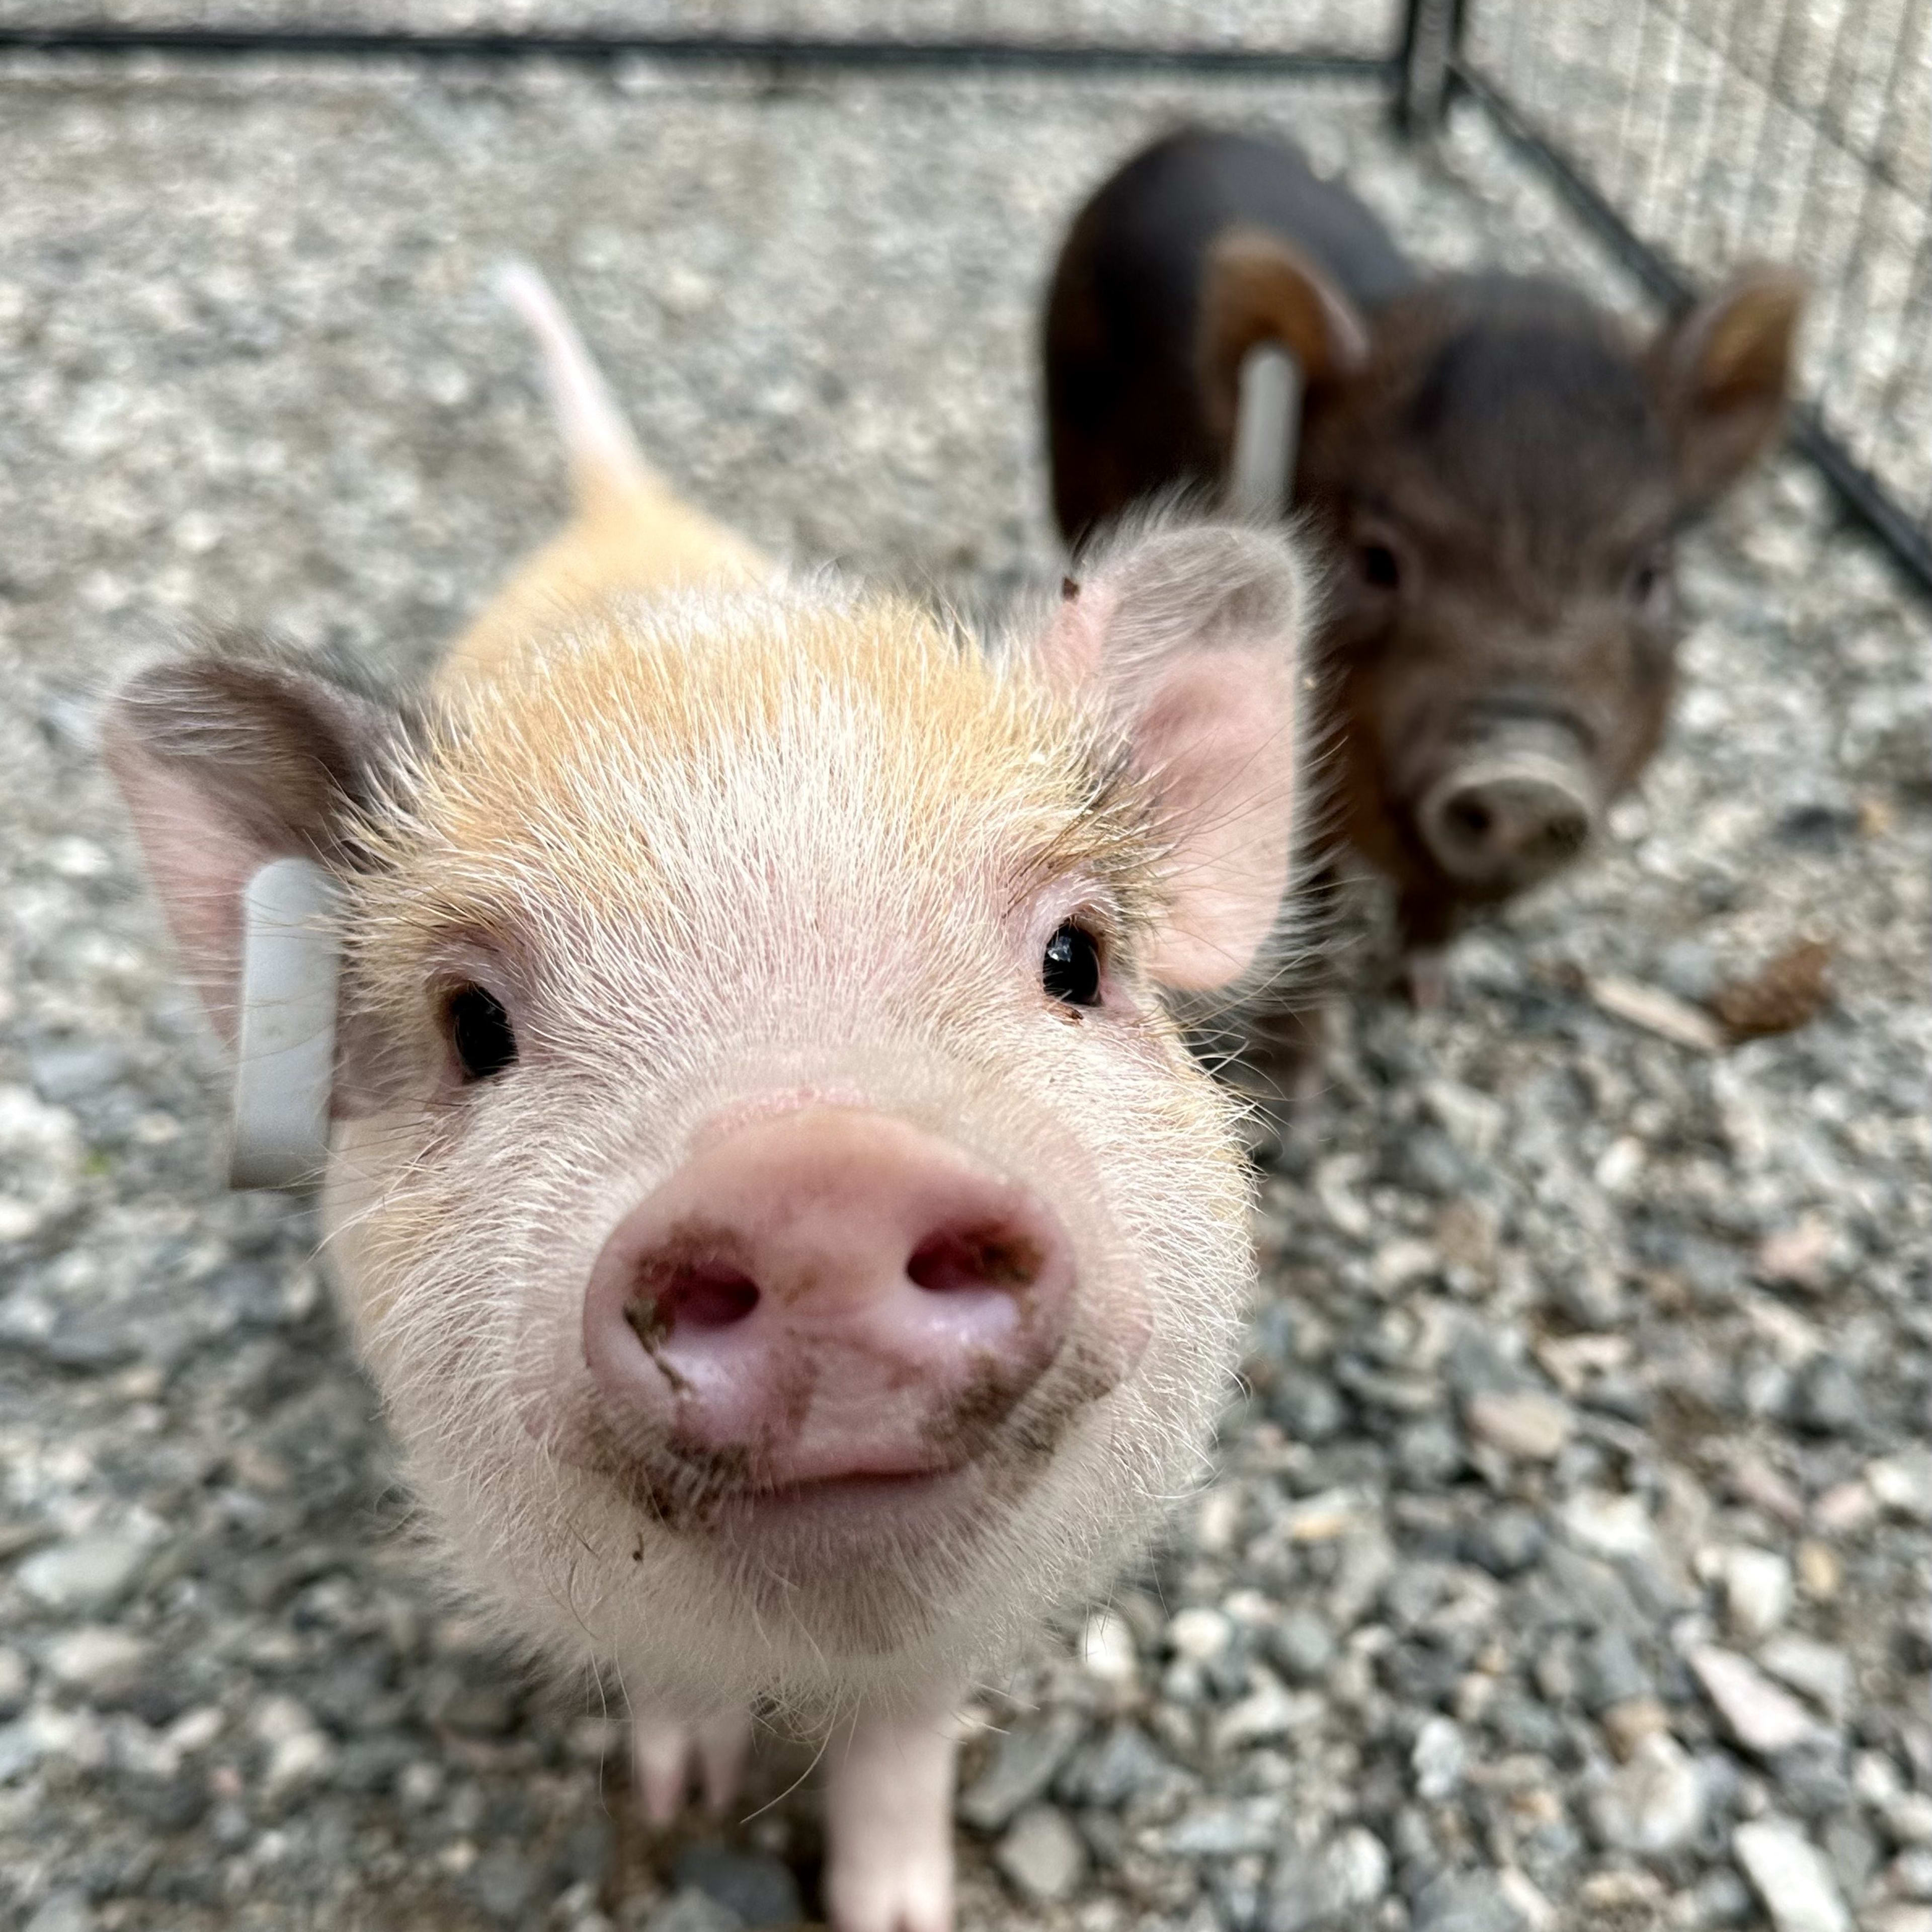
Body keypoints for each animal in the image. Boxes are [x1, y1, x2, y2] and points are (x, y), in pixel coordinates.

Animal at [103, 265, 1311, 1931]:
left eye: (1076, 955)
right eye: (473, 1026)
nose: (820, 1177)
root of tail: (620, 510)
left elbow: (906, 1742)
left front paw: (896, 1911)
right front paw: (682, 1801)